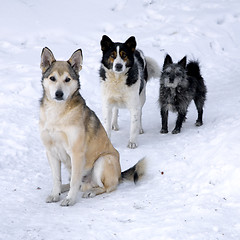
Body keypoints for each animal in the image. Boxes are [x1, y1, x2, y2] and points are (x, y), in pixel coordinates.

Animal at [39, 47, 146, 206]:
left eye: (67, 79)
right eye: (52, 78)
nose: (59, 94)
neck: (58, 114)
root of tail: (119, 175)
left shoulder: (76, 153)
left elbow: (74, 182)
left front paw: (70, 199)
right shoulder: (51, 152)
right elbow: (56, 179)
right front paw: (55, 194)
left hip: (102, 161)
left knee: (106, 187)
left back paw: (91, 192)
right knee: (78, 183)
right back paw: (64, 188)